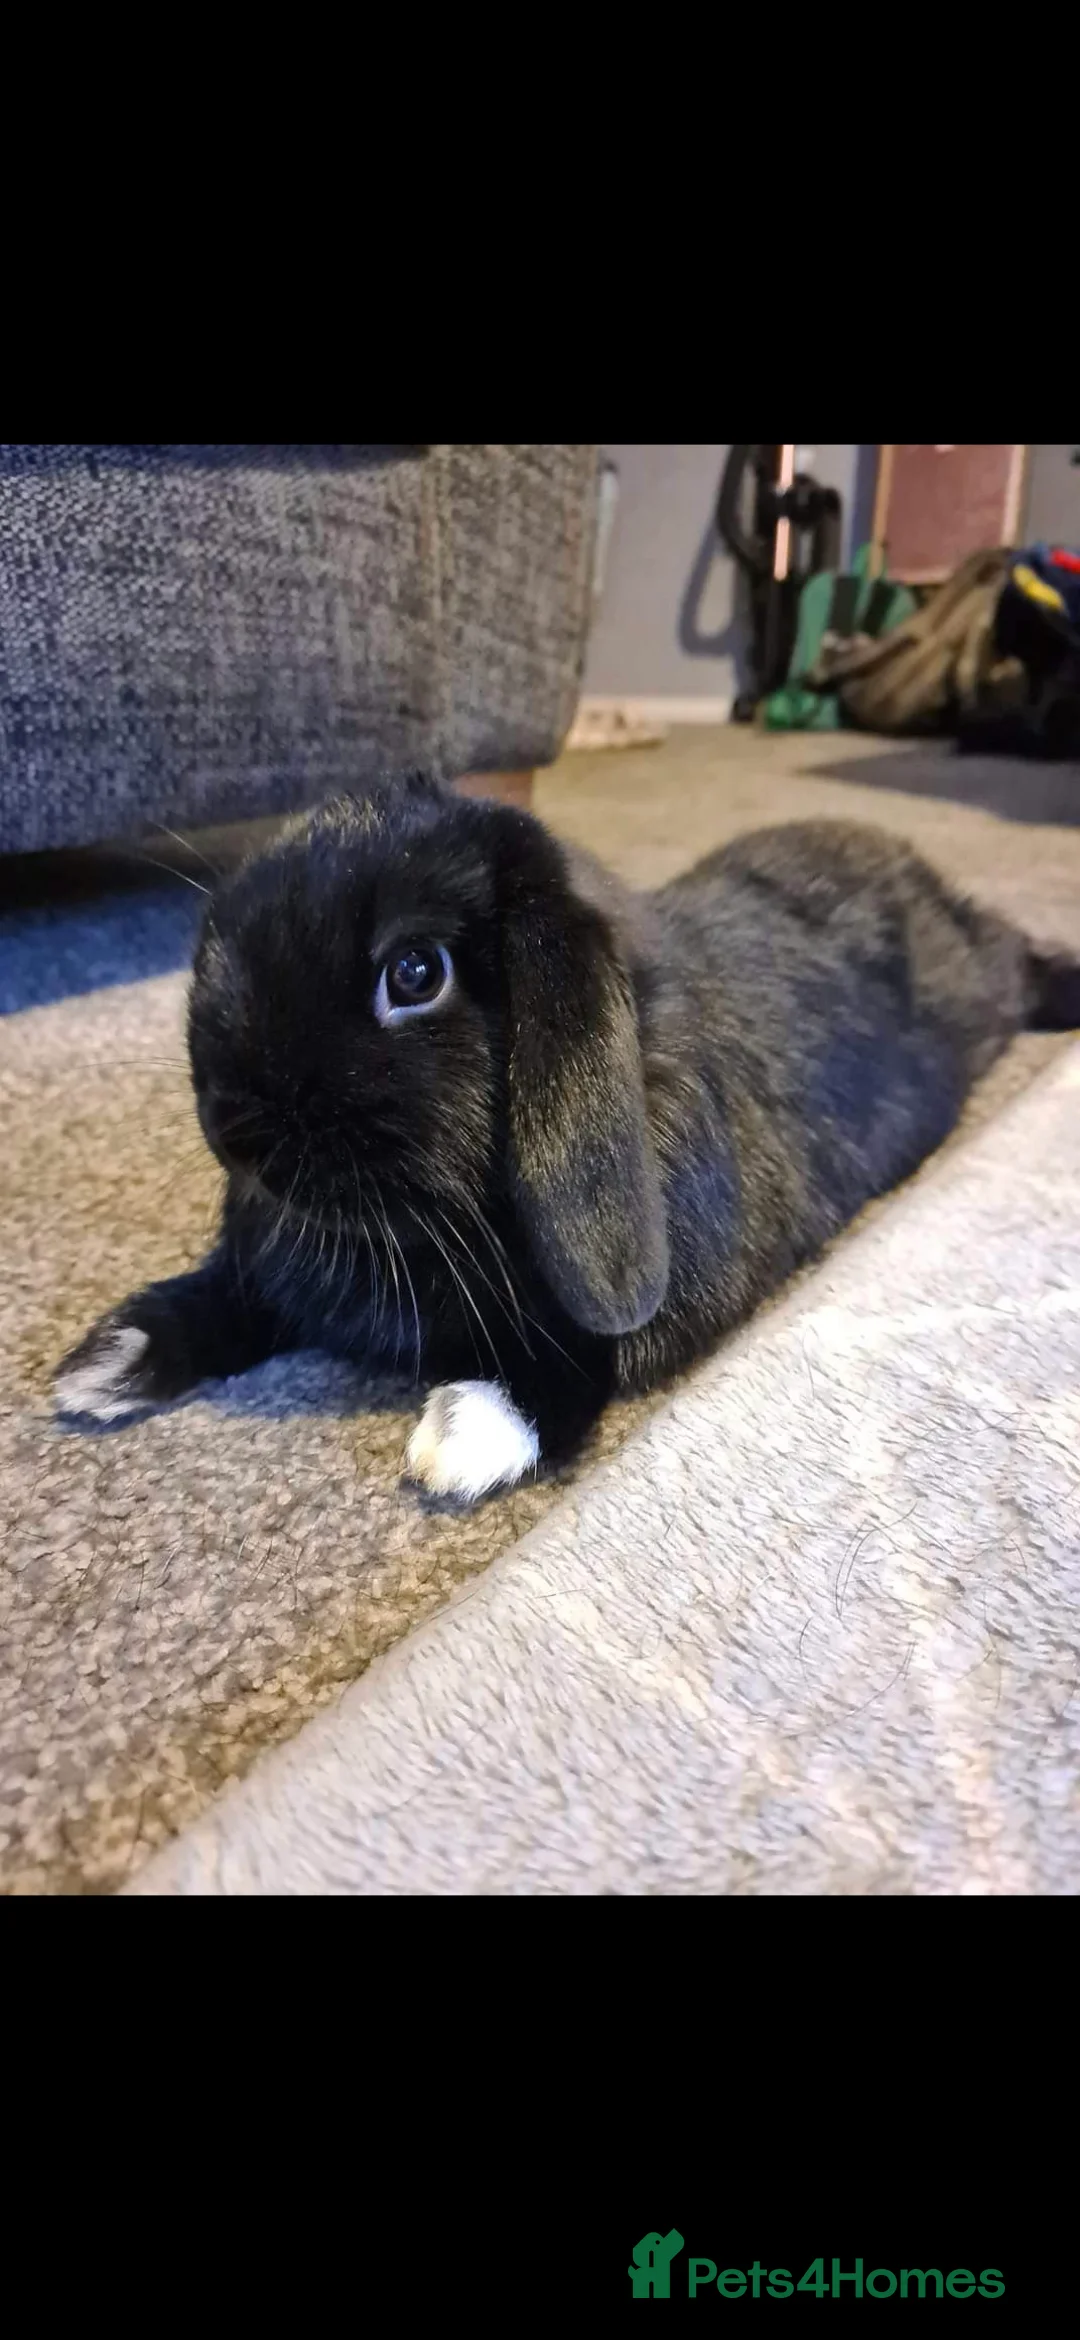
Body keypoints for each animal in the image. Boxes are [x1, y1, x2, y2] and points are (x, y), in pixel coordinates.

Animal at [54, 771, 1080, 1504]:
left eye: (415, 973)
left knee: (1018, 955)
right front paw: (106, 1362)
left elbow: (585, 1359)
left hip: (986, 978)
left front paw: (459, 1435)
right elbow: (230, 1300)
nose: (231, 1129)